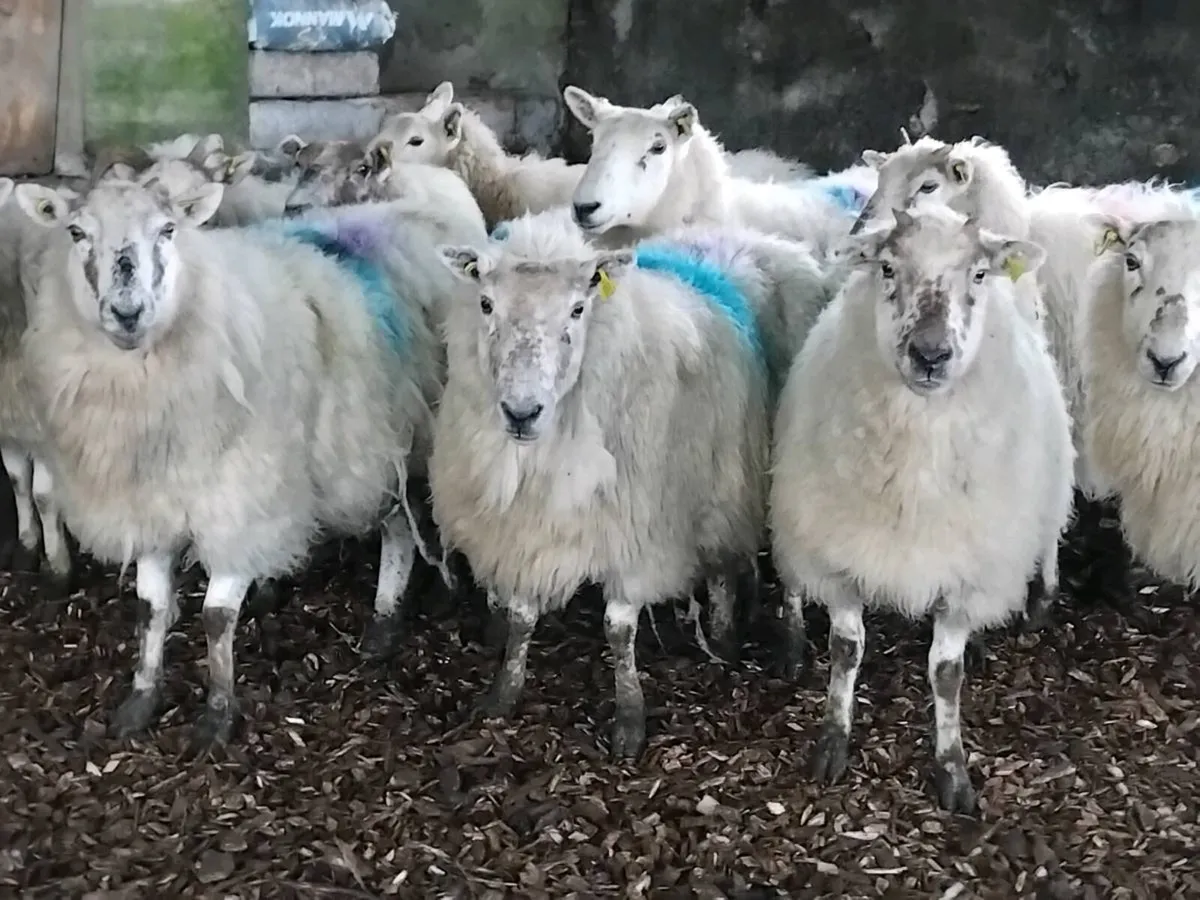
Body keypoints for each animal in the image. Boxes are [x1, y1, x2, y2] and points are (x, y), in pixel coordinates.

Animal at [14, 177, 455, 747]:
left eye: (169, 229)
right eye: (75, 232)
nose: (128, 313)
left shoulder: (240, 500)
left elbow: (217, 617)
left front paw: (218, 713)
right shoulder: (149, 503)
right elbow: (150, 609)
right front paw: (140, 699)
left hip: (393, 441)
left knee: (401, 526)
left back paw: (387, 616)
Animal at [431, 207, 771, 758]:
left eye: (577, 309)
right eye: (485, 303)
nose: (521, 413)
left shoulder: (635, 533)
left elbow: (618, 629)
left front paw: (629, 717)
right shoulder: (522, 531)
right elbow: (521, 616)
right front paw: (504, 693)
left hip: (726, 476)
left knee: (722, 561)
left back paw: (722, 637)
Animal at [769, 206, 1073, 813]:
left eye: (979, 274)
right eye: (887, 267)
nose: (930, 355)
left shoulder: (968, 574)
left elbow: (946, 673)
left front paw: (952, 768)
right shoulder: (840, 555)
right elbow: (846, 650)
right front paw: (833, 740)